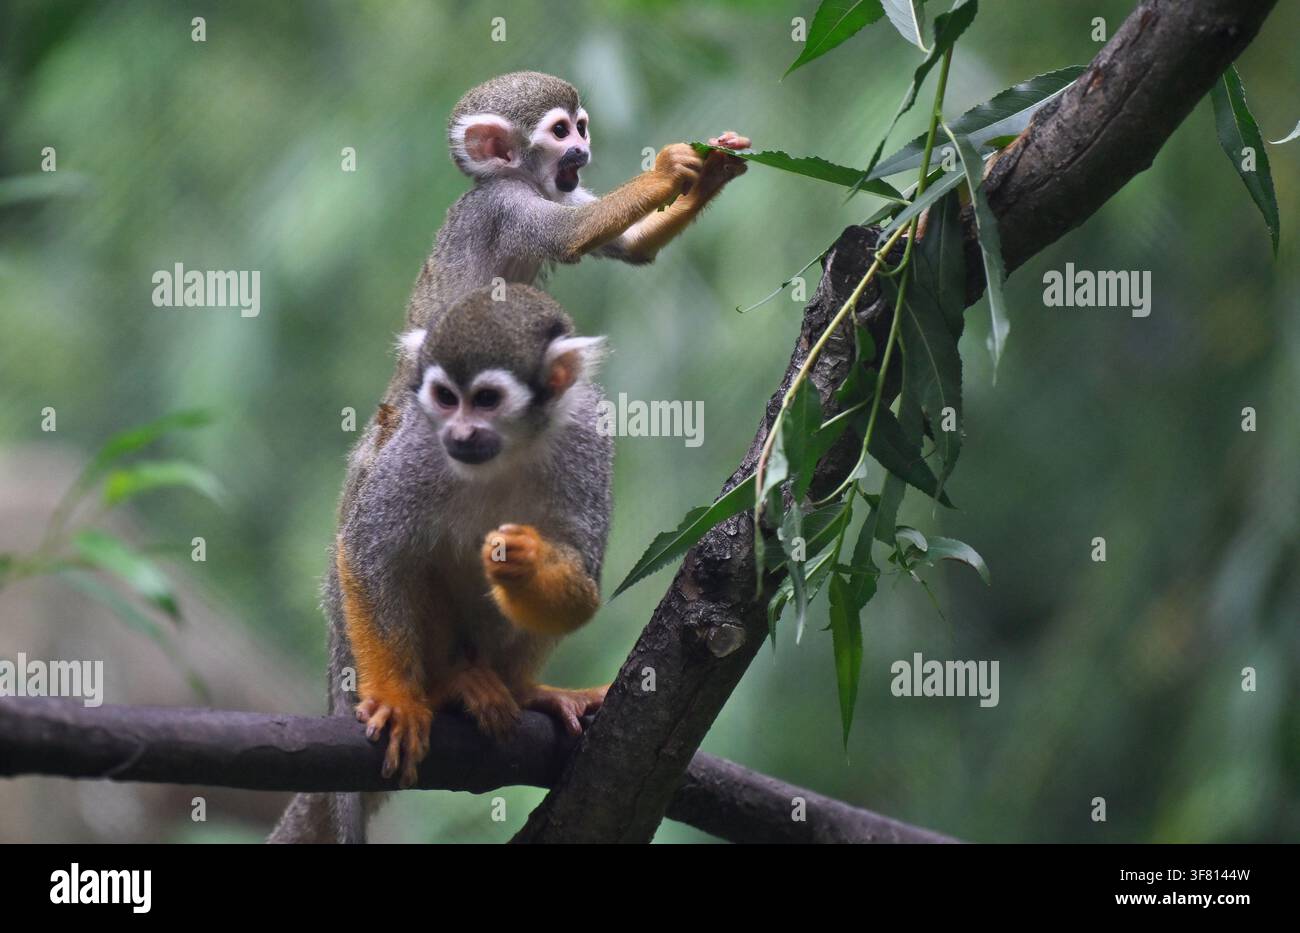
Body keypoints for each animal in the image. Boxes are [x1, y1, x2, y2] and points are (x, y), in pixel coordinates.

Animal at [269, 284, 612, 843]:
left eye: (487, 400)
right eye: (447, 398)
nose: (461, 433)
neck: (509, 449)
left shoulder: (589, 438)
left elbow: (583, 586)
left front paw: (523, 560)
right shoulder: (419, 447)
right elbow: (370, 548)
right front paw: (398, 700)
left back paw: (523, 690)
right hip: (348, 642)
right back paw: (448, 686)